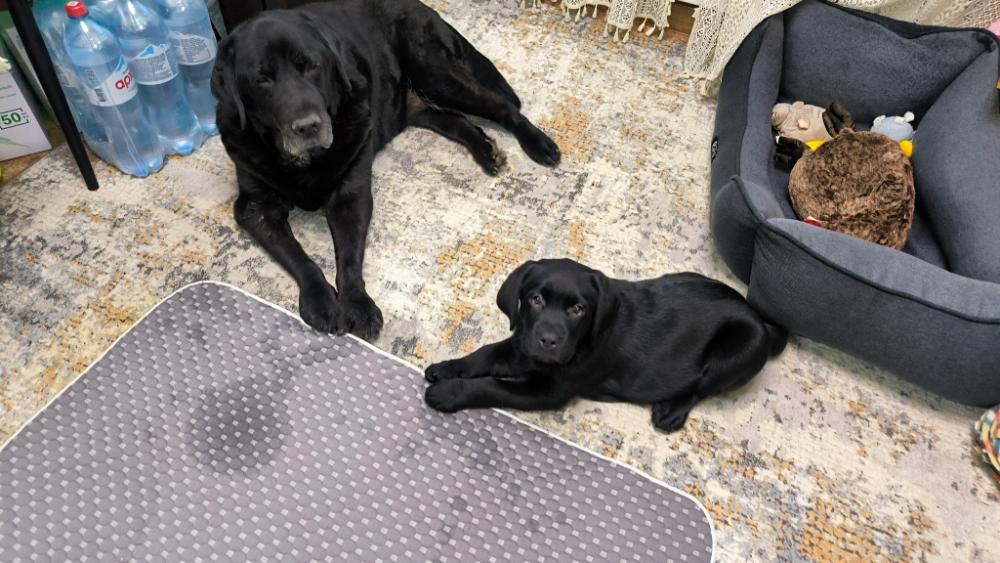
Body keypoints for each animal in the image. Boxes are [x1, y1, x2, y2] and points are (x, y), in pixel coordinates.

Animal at [211, 0, 561, 340]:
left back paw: (539, 144)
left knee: (502, 107)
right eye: (262, 78)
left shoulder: (351, 195)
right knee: (457, 121)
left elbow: (349, 257)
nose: (308, 126)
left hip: (437, 75)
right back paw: (486, 152)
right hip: (417, 107)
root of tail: (419, 6)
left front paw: (357, 304)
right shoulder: (255, 208)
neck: (306, 161)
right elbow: (299, 257)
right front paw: (321, 300)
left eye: (311, 65)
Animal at [424, 259, 786, 431]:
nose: (549, 341)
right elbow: (486, 353)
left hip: (739, 349)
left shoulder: (548, 390)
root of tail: (756, 317)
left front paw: (447, 393)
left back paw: (670, 411)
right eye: (535, 299)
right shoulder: (523, 342)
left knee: (702, 387)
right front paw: (446, 368)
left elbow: (493, 386)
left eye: (578, 309)